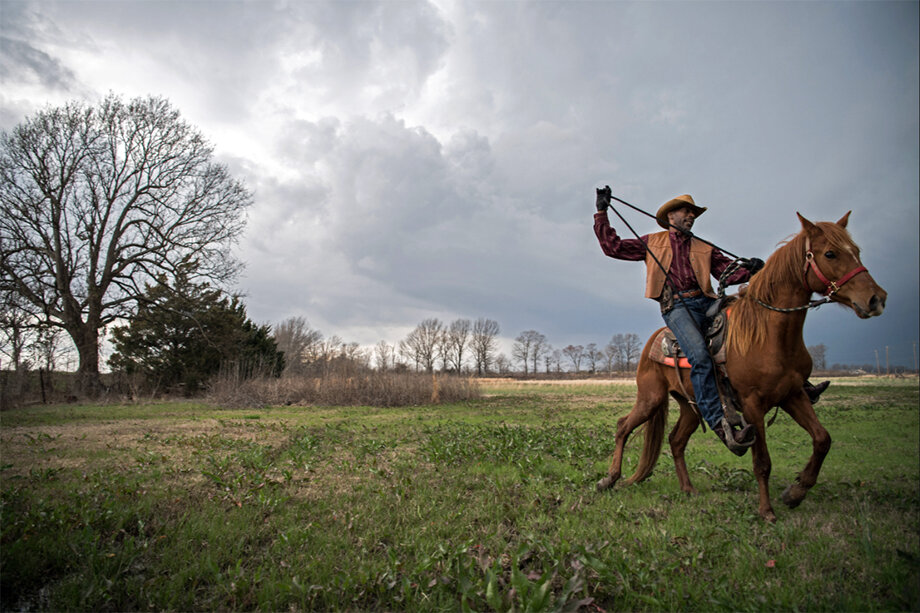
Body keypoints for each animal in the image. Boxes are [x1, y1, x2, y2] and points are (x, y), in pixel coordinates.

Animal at [592, 212, 888, 520]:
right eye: (830, 253)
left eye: (857, 251)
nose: (876, 298)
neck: (768, 333)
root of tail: (654, 339)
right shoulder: (752, 403)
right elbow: (763, 461)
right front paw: (767, 511)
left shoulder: (793, 394)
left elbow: (822, 439)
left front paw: (795, 492)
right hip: (651, 397)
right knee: (623, 426)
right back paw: (609, 479)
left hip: (691, 406)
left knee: (675, 440)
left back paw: (688, 488)